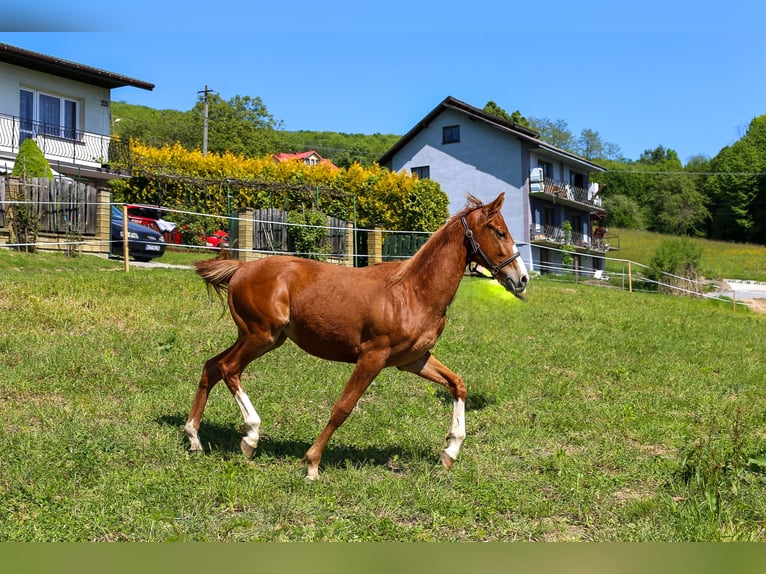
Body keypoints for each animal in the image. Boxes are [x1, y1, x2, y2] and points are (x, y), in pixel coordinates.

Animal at [186, 194, 532, 482]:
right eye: (499, 232)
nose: (522, 278)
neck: (413, 291)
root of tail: (241, 269)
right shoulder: (372, 356)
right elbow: (344, 407)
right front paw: (312, 464)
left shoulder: (413, 360)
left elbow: (457, 384)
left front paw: (450, 452)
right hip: (261, 335)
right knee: (228, 368)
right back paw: (250, 437)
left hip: (261, 338)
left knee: (212, 366)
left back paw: (194, 438)